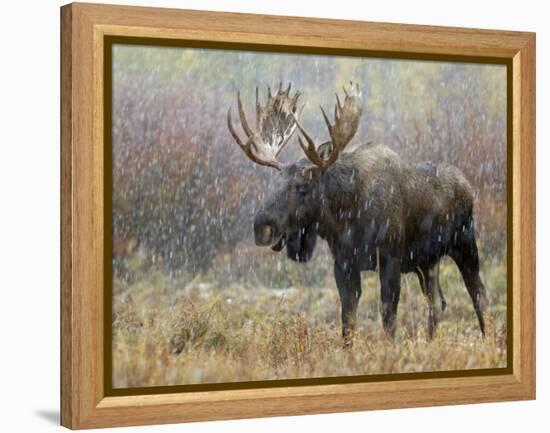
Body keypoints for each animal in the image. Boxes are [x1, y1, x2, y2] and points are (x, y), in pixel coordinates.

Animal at [226, 80, 490, 344]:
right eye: (276, 182)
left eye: (303, 187)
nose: (261, 227)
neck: (346, 218)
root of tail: (468, 186)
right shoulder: (344, 263)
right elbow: (348, 319)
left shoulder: (390, 257)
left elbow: (388, 316)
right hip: (427, 261)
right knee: (437, 302)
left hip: (465, 244)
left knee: (479, 294)